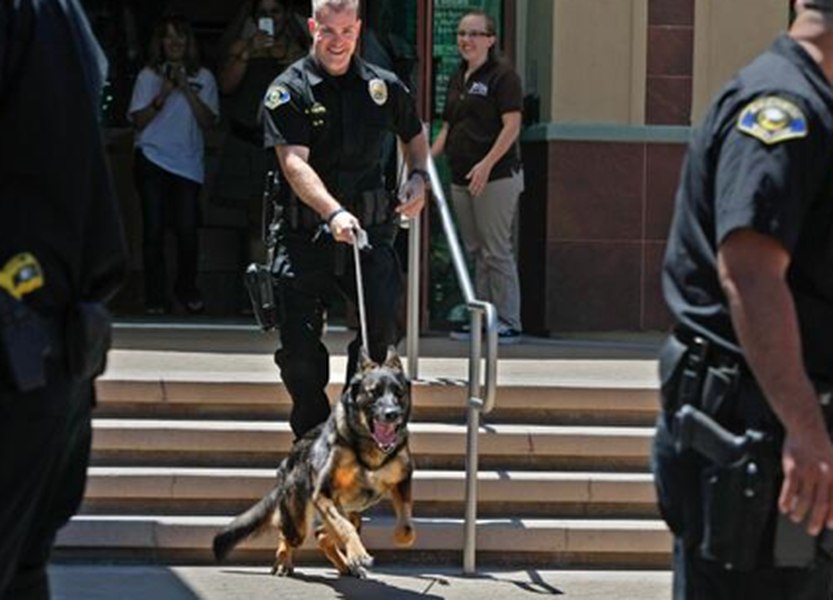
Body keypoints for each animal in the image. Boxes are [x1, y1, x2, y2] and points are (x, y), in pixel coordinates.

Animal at [211, 346, 412, 576]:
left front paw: (397, 537)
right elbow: (344, 528)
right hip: (298, 522)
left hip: (347, 512)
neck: (368, 446)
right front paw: (357, 553)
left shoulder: (402, 481)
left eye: (399, 393)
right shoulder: (323, 494)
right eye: (374, 392)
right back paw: (284, 561)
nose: (393, 414)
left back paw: (344, 563)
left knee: (326, 532)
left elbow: (406, 528)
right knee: (289, 533)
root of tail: (290, 458)